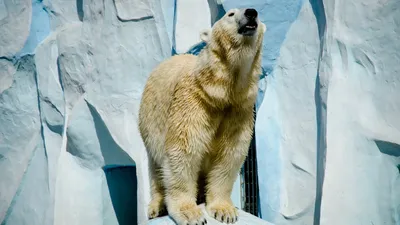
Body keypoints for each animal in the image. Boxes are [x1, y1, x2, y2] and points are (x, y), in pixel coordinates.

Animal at [138, 7, 266, 225]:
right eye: (230, 14)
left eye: (256, 13)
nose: (251, 12)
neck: (220, 91)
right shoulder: (194, 100)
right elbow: (183, 150)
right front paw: (190, 214)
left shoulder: (238, 109)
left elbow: (229, 154)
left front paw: (224, 211)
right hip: (149, 122)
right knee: (156, 168)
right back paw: (157, 206)